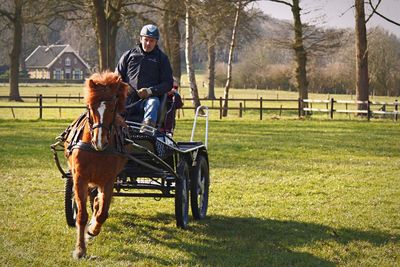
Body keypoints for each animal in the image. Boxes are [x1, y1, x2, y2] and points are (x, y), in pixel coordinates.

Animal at [67, 71, 129, 260]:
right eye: (91, 107)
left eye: (113, 108)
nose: (100, 141)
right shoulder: (80, 178)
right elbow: (81, 215)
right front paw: (80, 249)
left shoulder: (108, 180)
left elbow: (102, 213)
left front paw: (93, 230)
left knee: (97, 202)